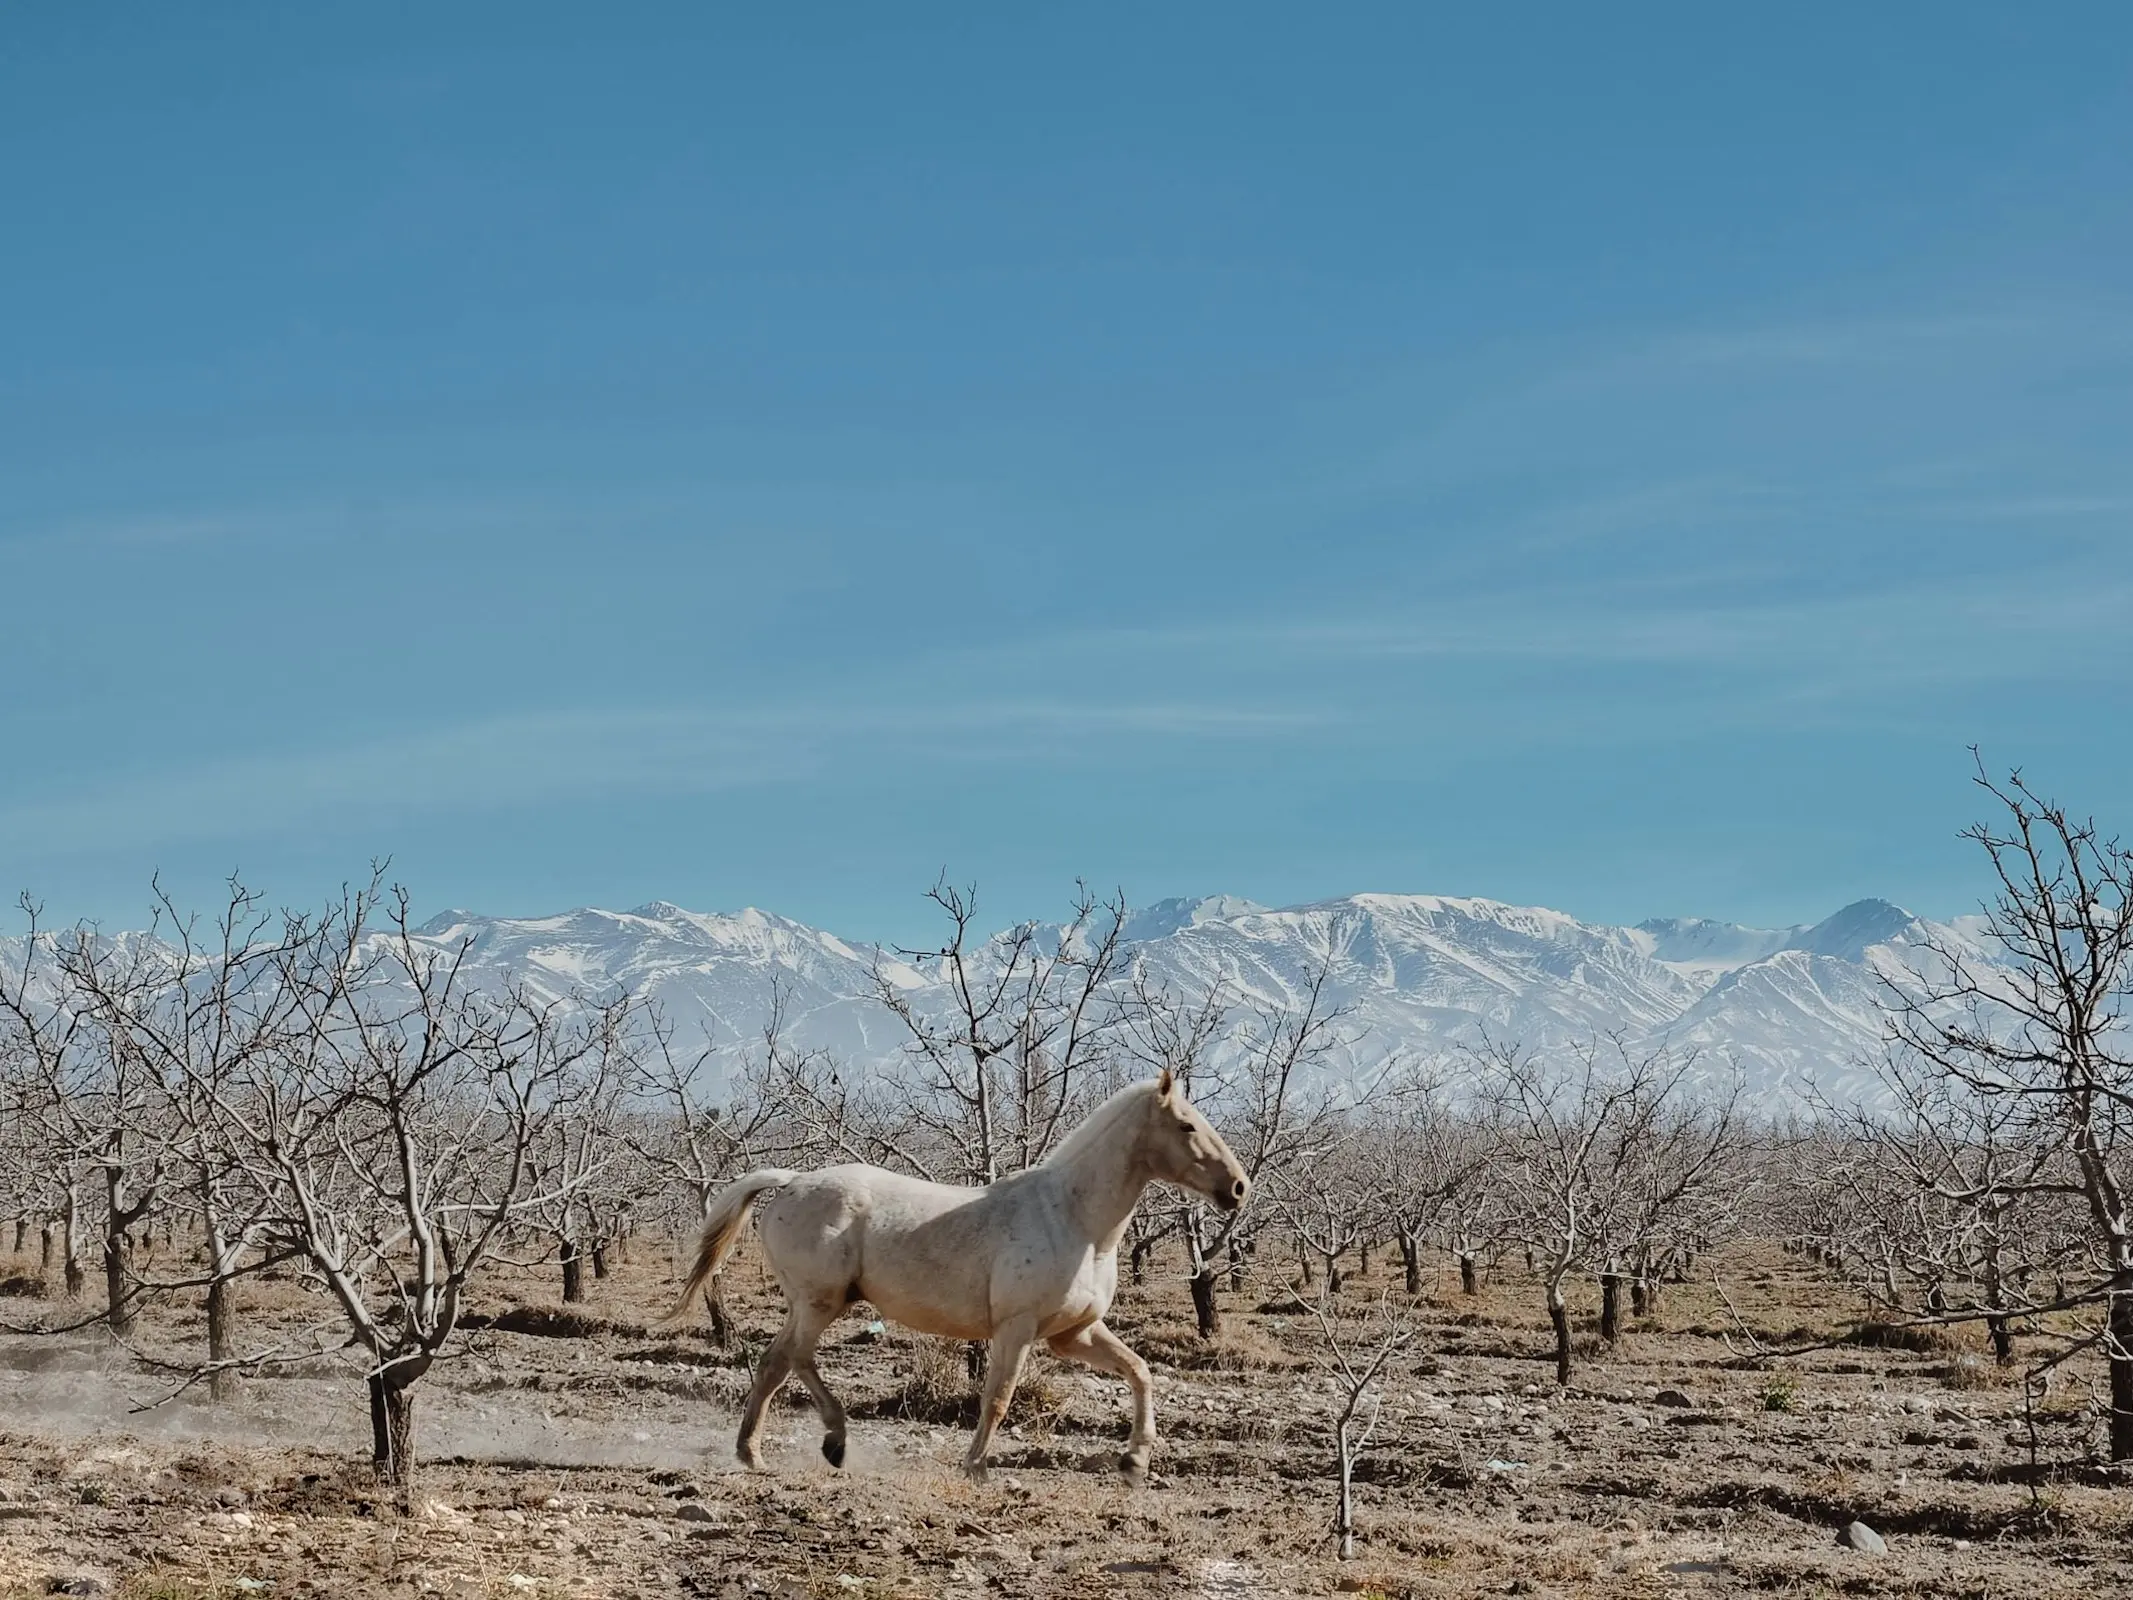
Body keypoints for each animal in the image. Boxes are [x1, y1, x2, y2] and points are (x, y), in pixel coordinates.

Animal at [665, 1070, 1245, 1484]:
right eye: (1187, 1125)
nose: (1238, 1188)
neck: (1075, 1220)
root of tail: (789, 1180)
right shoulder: (1016, 1328)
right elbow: (999, 1396)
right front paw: (978, 1468)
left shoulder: (1072, 1334)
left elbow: (1140, 1371)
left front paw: (1135, 1463)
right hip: (820, 1302)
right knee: (794, 1358)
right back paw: (831, 1440)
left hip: (816, 1303)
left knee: (775, 1363)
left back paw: (758, 1454)